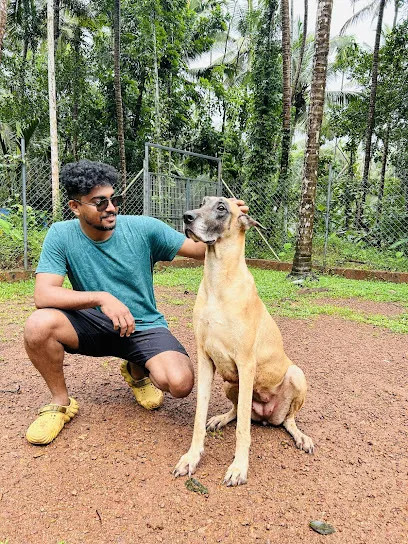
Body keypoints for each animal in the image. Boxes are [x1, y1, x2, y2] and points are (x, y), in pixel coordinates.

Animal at [174, 198, 314, 486]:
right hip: (231, 384)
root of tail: (267, 417)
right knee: (239, 411)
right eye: (202, 202)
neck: (218, 281)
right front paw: (192, 457)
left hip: (295, 375)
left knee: (287, 420)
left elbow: (242, 431)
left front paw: (239, 468)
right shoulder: (205, 360)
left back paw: (301, 436)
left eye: (221, 207)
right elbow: (199, 417)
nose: (187, 217)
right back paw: (220, 418)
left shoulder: (246, 364)